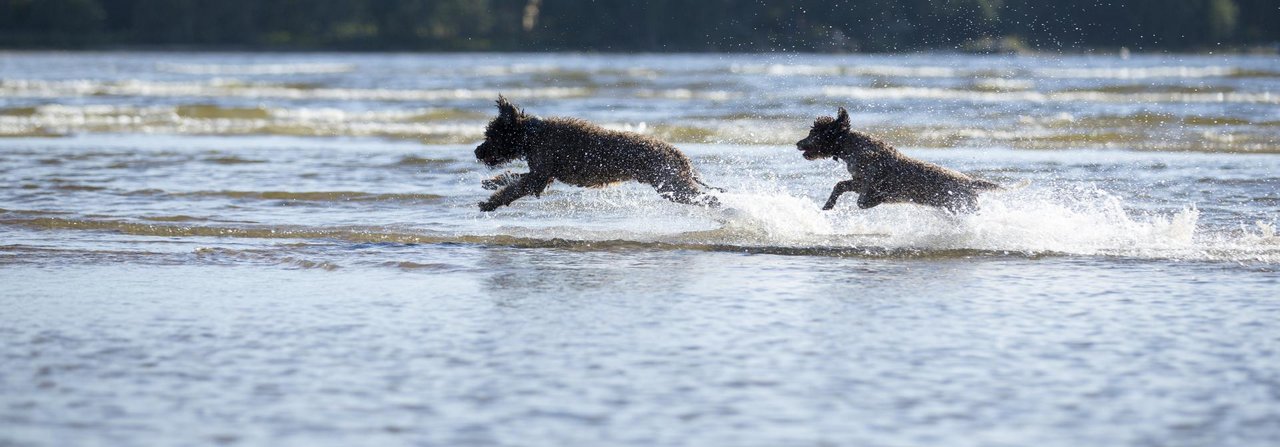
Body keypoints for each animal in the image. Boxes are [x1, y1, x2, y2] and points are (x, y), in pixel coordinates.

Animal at [478, 96, 727, 210]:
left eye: (491, 136)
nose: (476, 152)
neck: (533, 135)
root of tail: (681, 157)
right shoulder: (543, 174)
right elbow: (511, 178)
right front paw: (491, 182)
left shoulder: (538, 178)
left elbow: (512, 189)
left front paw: (490, 202)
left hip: (672, 186)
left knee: (711, 198)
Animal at [798, 106, 998, 213]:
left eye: (813, 133)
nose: (798, 143)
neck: (851, 146)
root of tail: (971, 182)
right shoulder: (859, 180)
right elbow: (840, 185)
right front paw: (828, 205)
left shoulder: (873, 180)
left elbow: (862, 200)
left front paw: (876, 200)